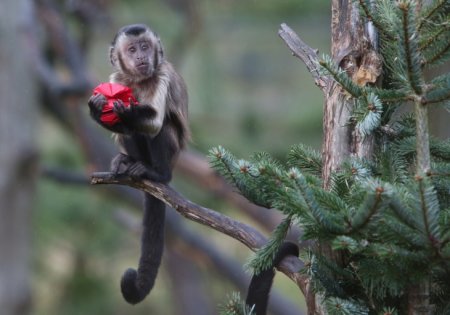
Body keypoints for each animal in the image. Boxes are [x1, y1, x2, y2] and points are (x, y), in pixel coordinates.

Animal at [88, 23, 190, 304]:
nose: (141, 57)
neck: (137, 81)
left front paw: (127, 109)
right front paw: (98, 109)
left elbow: (154, 123)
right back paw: (128, 162)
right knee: (130, 133)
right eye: (132, 49)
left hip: (173, 157)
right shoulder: (117, 79)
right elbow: (119, 123)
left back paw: (157, 174)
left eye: (145, 47)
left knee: (162, 127)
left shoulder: (162, 74)